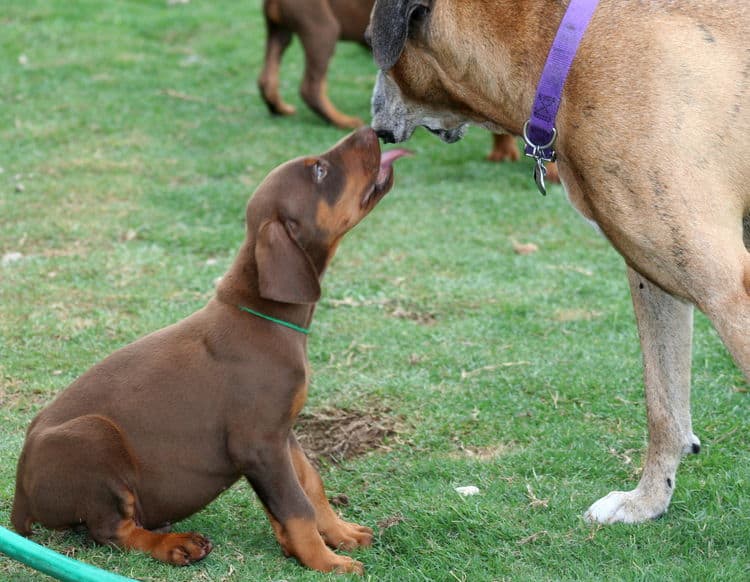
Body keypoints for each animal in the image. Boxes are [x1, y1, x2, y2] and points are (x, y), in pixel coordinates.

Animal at [10, 129, 412, 576]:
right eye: (320, 170)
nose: (372, 131)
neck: (262, 314)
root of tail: (20, 494)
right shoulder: (259, 443)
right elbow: (296, 506)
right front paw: (326, 561)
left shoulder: (282, 434)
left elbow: (310, 484)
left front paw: (337, 535)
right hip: (94, 437)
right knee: (113, 531)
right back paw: (176, 545)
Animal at [368, 0, 750, 528]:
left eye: (370, 42)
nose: (374, 124)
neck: (564, 52)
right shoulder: (654, 275)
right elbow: (664, 407)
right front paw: (648, 500)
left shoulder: (726, 288)